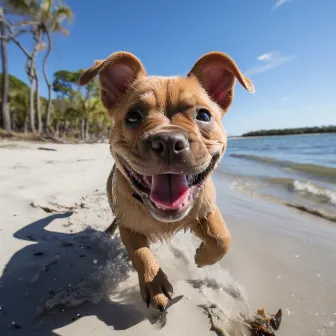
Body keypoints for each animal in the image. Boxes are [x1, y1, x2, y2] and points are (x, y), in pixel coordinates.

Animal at [79, 50, 255, 312]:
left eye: (204, 115)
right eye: (133, 116)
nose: (169, 141)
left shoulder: (206, 210)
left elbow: (222, 238)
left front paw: (203, 256)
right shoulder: (129, 227)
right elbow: (140, 253)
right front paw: (154, 283)